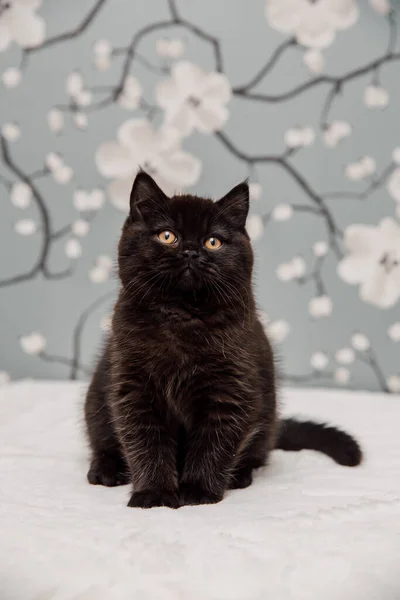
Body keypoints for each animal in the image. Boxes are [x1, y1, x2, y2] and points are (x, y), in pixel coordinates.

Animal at [85, 171, 362, 508]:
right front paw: (154, 495)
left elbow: (213, 443)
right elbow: (146, 441)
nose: (192, 251)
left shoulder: (231, 389)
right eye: (167, 236)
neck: (183, 317)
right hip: (97, 396)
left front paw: (197, 492)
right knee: (103, 442)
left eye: (213, 241)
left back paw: (240, 476)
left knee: (255, 453)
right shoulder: (133, 387)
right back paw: (106, 470)